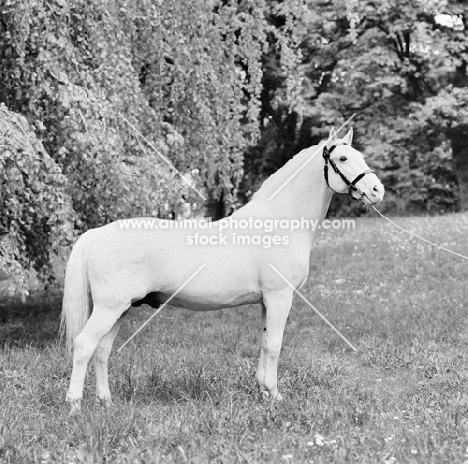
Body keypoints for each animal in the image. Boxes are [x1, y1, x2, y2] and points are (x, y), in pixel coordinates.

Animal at [61, 126, 384, 410]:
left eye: (359, 155)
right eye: (343, 158)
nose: (377, 190)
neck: (279, 220)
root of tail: (98, 234)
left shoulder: (267, 301)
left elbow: (264, 342)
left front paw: (263, 391)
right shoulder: (280, 297)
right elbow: (275, 344)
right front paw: (275, 395)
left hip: (122, 309)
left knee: (102, 350)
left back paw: (106, 402)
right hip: (109, 308)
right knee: (85, 345)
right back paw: (75, 406)